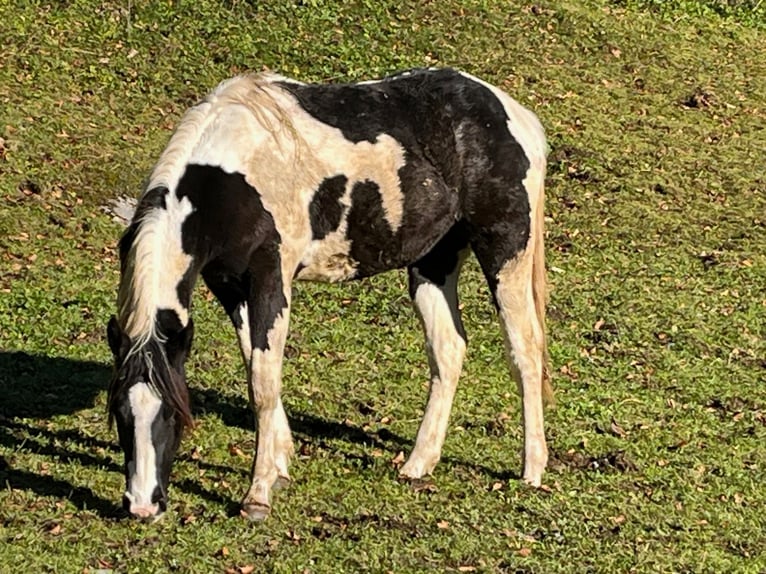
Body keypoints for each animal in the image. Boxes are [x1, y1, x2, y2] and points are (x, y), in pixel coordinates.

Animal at [106, 67, 552, 520]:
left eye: (172, 414)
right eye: (121, 414)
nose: (142, 505)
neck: (232, 176)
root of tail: (510, 112)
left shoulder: (270, 280)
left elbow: (263, 383)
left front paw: (258, 494)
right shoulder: (230, 287)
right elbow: (257, 368)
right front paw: (280, 463)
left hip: (505, 254)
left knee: (525, 350)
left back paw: (532, 468)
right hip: (433, 263)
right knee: (449, 349)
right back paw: (418, 463)